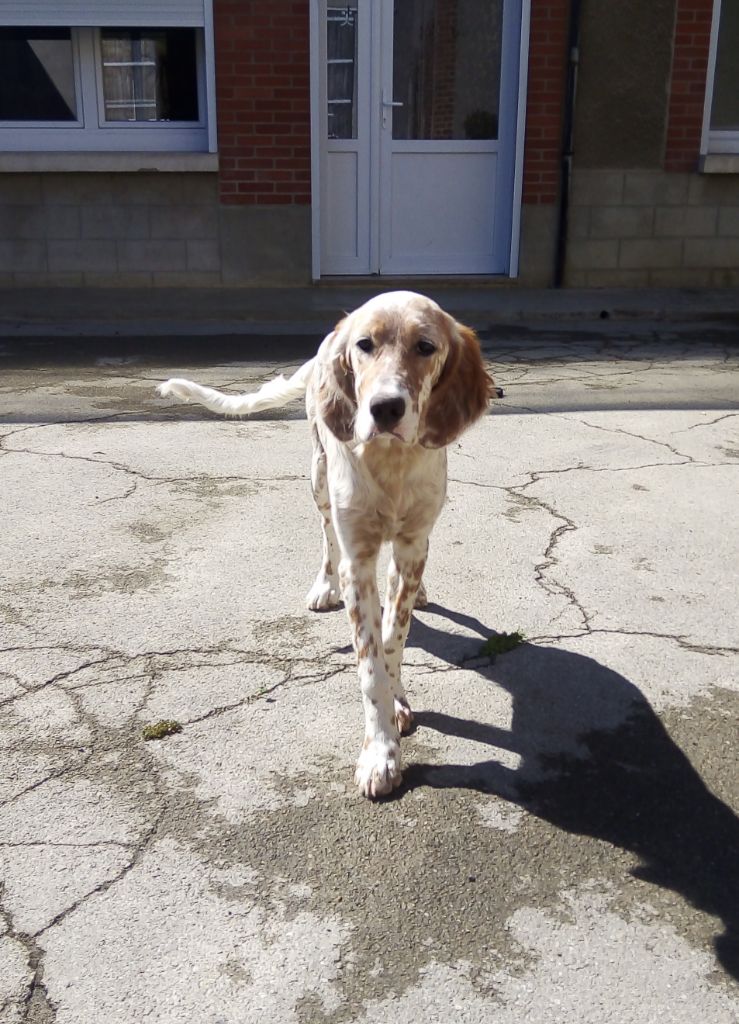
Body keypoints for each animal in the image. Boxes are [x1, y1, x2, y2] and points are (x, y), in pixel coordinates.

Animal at [156, 292, 491, 794]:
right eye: (365, 344)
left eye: (426, 347)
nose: (385, 409)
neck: (390, 462)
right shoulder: (359, 559)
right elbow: (370, 665)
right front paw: (380, 752)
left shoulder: (410, 548)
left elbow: (392, 639)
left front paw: (397, 705)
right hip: (318, 477)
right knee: (326, 536)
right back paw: (323, 586)